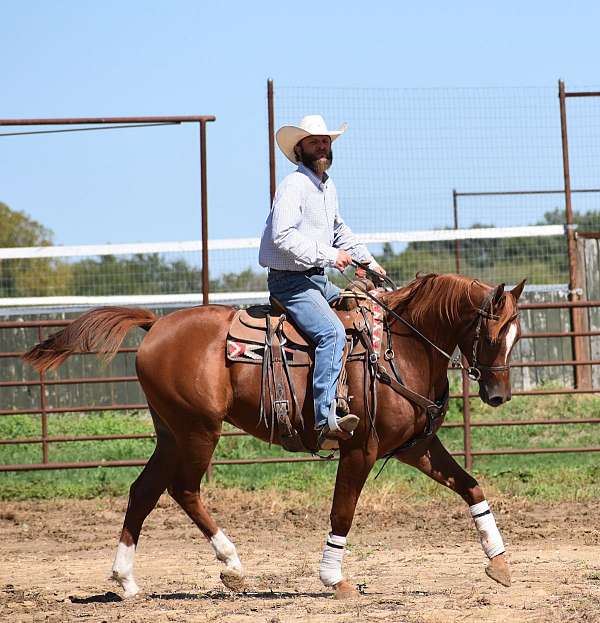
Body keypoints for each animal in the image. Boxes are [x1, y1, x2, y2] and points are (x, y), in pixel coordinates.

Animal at [22, 272, 524, 600]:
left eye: (516, 336)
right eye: (492, 334)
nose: (498, 395)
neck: (398, 347)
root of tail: (156, 324)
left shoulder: (415, 447)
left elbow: (471, 486)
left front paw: (499, 562)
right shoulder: (359, 450)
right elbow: (342, 513)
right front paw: (334, 579)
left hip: (171, 433)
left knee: (144, 491)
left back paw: (127, 581)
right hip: (197, 431)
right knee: (183, 489)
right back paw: (231, 565)